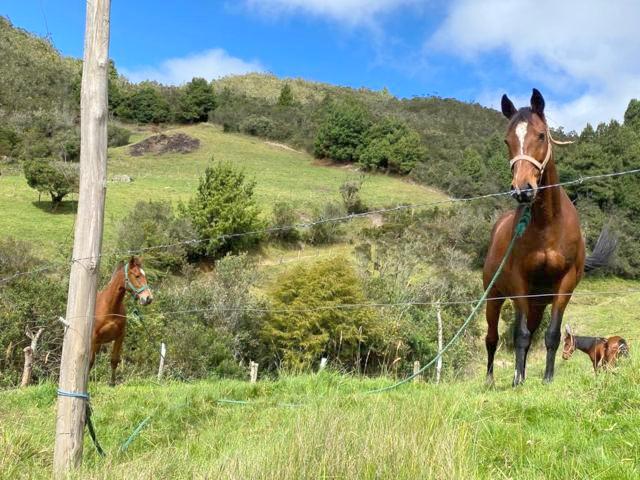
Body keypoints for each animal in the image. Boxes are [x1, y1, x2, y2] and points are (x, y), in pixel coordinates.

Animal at [90, 256, 152, 384]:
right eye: (137, 275)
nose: (148, 298)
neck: (110, 307)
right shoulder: (94, 338)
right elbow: (90, 361)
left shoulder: (119, 336)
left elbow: (114, 360)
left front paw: (112, 384)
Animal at [484, 89, 616, 386]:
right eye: (507, 140)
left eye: (541, 135)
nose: (522, 190)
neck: (548, 225)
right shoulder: (519, 284)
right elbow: (519, 336)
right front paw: (517, 382)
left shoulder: (563, 287)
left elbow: (551, 335)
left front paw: (546, 378)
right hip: (493, 298)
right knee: (492, 339)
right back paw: (491, 380)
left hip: (537, 304)